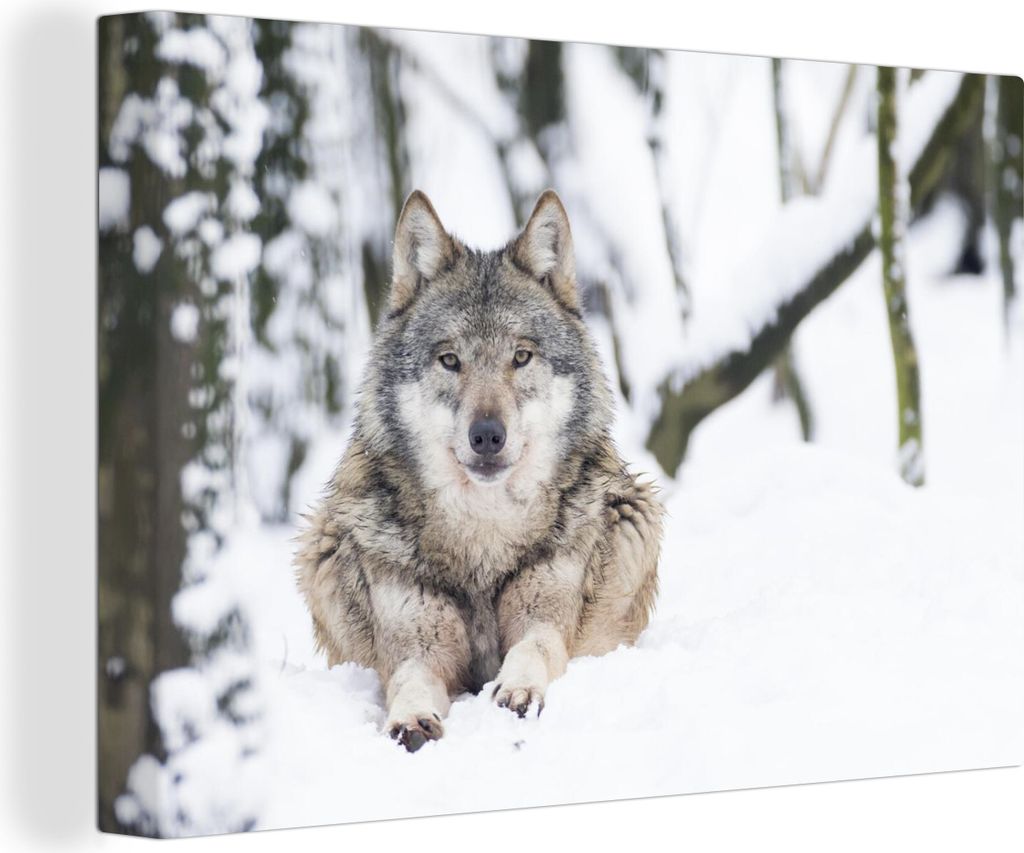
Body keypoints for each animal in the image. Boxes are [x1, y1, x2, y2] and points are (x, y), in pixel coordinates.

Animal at [295, 189, 663, 751]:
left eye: (521, 356)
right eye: (450, 360)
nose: (487, 435)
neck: (484, 534)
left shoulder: (546, 613)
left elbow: (535, 648)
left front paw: (517, 690)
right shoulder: (416, 646)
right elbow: (408, 679)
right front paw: (410, 720)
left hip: (632, 513)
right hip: (323, 544)